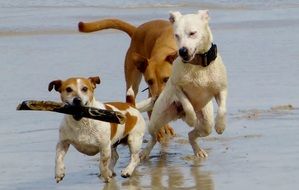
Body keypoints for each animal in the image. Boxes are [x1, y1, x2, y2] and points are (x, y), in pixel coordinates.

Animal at [142, 10, 229, 159]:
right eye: (176, 35)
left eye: (192, 33)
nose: (182, 51)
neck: (197, 65)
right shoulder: (177, 87)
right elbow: (187, 105)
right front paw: (191, 119)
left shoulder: (221, 89)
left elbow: (222, 109)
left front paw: (220, 126)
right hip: (157, 119)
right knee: (154, 137)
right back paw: (144, 153)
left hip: (206, 125)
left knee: (192, 134)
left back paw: (198, 150)